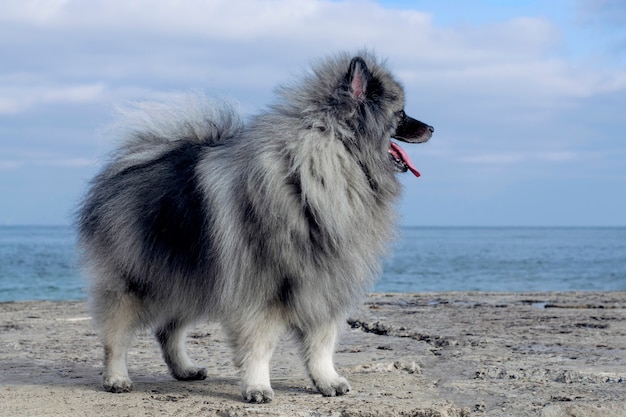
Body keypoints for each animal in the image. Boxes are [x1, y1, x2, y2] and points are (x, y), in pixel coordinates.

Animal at [75, 50, 432, 402]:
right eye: (401, 113)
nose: (430, 127)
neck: (324, 166)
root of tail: (126, 166)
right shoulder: (259, 290)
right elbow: (258, 346)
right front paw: (257, 387)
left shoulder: (323, 284)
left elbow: (321, 343)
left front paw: (326, 380)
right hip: (134, 281)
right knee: (116, 337)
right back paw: (117, 378)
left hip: (190, 277)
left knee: (167, 331)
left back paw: (185, 370)